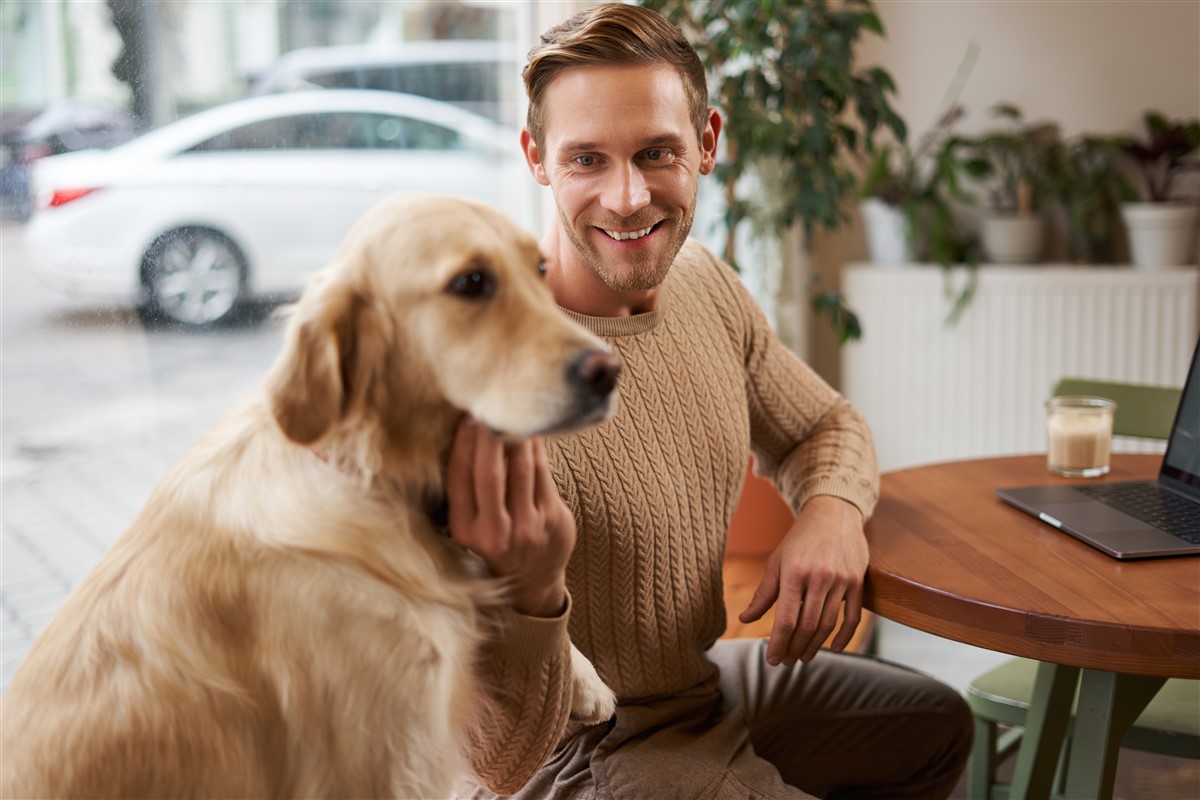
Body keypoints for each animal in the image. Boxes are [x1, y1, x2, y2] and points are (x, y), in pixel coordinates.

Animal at [0, 194, 619, 800]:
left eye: (541, 269)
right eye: (470, 283)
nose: (608, 370)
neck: (369, 472)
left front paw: (588, 683)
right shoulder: (380, 755)